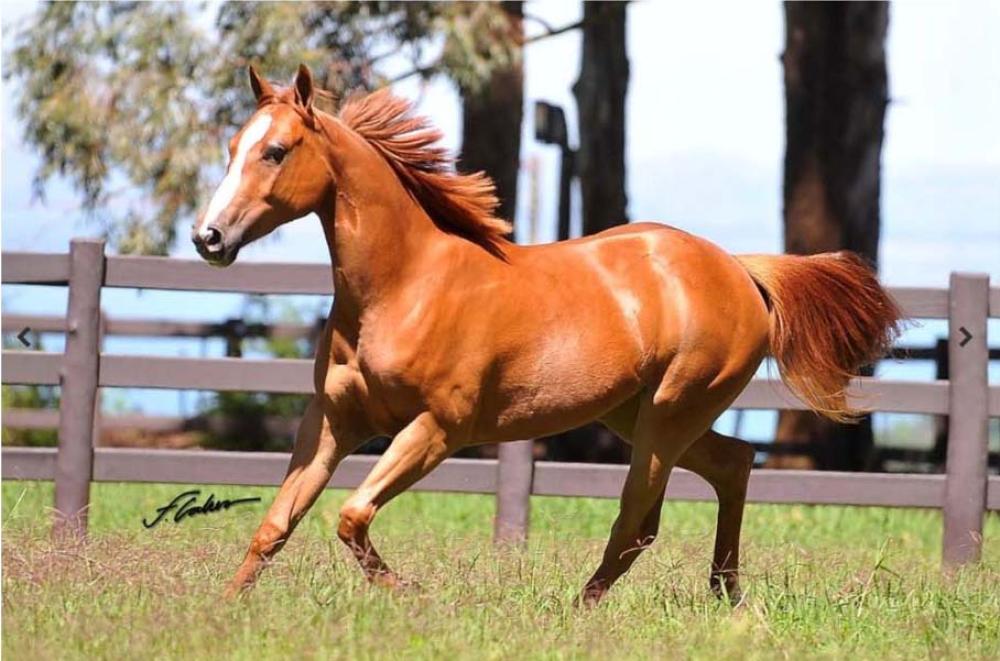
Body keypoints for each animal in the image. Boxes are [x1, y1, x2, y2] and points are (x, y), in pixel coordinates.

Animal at [192, 64, 902, 606]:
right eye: (231, 149)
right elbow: (277, 523)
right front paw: (224, 610)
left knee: (638, 519)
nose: (209, 238)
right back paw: (725, 594)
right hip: (636, 413)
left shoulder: (438, 429)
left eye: (275, 151)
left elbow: (351, 516)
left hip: (671, 413)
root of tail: (737, 268)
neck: (405, 287)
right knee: (733, 463)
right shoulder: (332, 420)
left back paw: (583, 609)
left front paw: (415, 597)